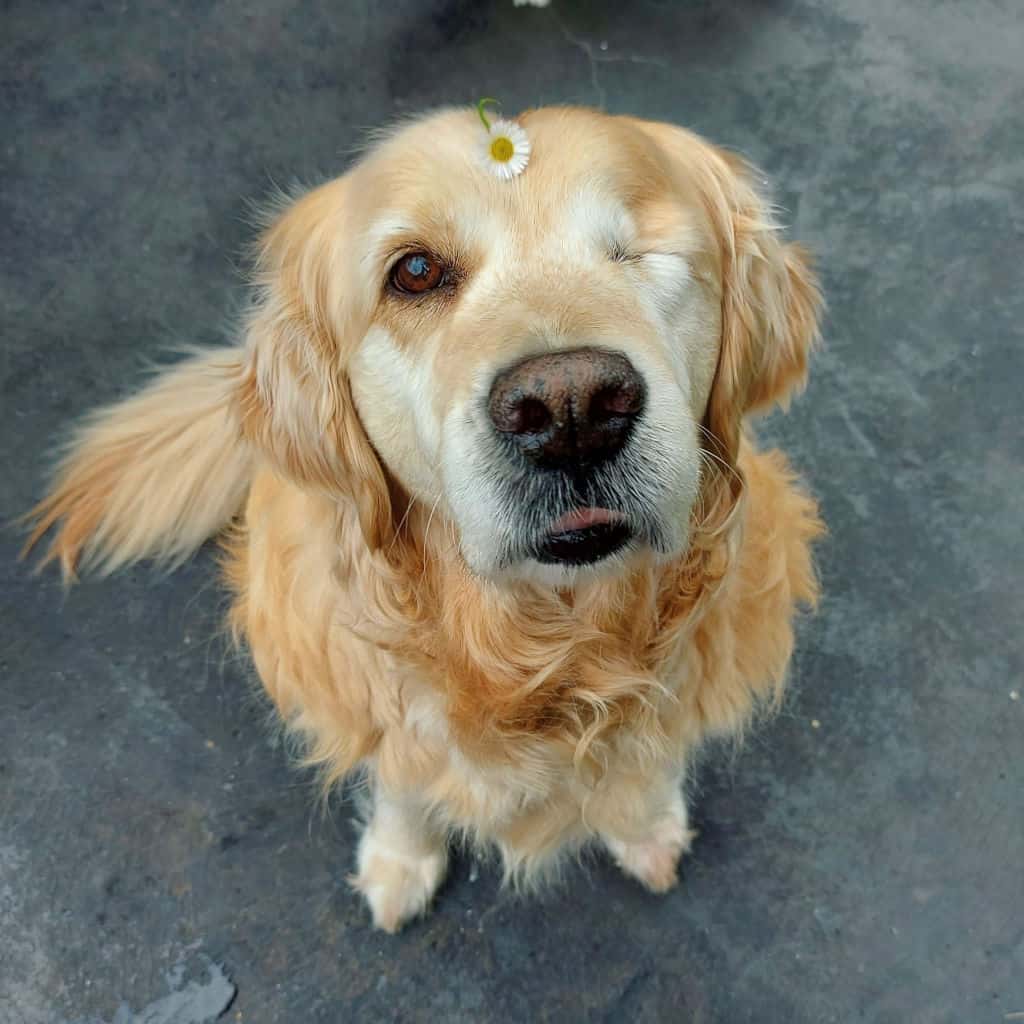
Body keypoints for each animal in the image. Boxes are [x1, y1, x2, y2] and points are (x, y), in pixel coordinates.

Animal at [25, 108, 823, 933]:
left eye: (636, 249)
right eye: (414, 272)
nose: (571, 409)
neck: (549, 655)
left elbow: (651, 760)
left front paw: (646, 826)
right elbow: (405, 786)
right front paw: (399, 862)